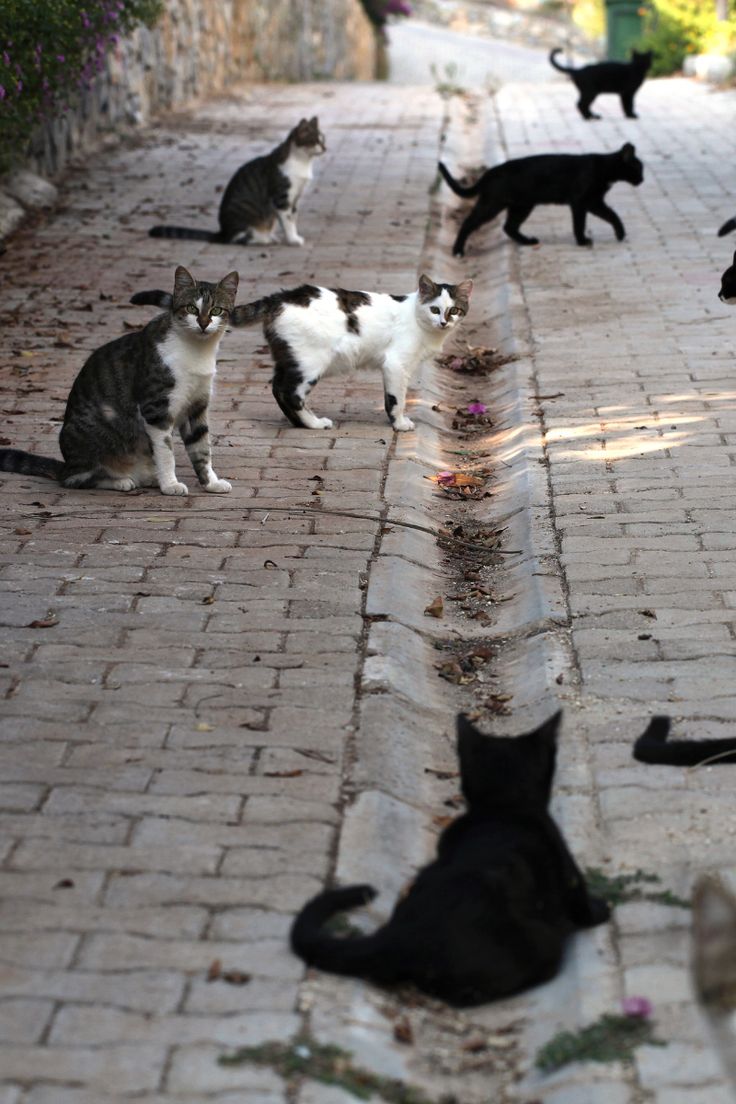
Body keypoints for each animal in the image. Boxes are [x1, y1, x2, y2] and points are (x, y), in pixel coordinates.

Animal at [0, 264, 237, 494]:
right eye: (191, 309)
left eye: (216, 310)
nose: (203, 324)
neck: (197, 350)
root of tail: (65, 464)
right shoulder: (156, 408)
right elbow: (166, 451)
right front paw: (170, 485)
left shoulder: (196, 405)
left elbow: (202, 448)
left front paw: (211, 483)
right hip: (92, 440)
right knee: (75, 479)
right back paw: (120, 481)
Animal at [132, 271, 474, 430]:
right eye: (434, 309)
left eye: (454, 310)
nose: (444, 321)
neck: (418, 320)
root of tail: (280, 297)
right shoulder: (395, 365)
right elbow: (396, 399)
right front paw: (400, 424)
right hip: (310, 362)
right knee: (289, 392)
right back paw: (313, 423)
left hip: (290, 357)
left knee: (277, 387)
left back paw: (301, 422)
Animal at [147, 116, 324, 246]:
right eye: (316, 141)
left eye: (324, 140)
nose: (325, 148)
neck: (303, 162)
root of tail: (223, 232)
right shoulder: (282, 197)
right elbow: (288, 221)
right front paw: (293, 239)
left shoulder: (295, 198)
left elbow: (293, 218)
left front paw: (294, 236)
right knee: (239, 238)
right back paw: (263, 239)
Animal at [286, 710, 609, 1006]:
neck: (502, 808)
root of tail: (396, 937)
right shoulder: (568, 871)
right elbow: (584, 905)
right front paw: (602, 909)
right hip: (541, 942)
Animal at [436, 140, 644, 253]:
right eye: (638, 168)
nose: (642, 179)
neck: (605, 168)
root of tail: (490, 172)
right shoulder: (580, 201)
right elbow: (579, 223)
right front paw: (582, 241)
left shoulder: (594, 202)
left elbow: (612, 215)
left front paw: (620, 233)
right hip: (493, 205)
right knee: (469, 223)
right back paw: (457, 251)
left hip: (522, 206)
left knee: (509, 227)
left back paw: (528, 241)